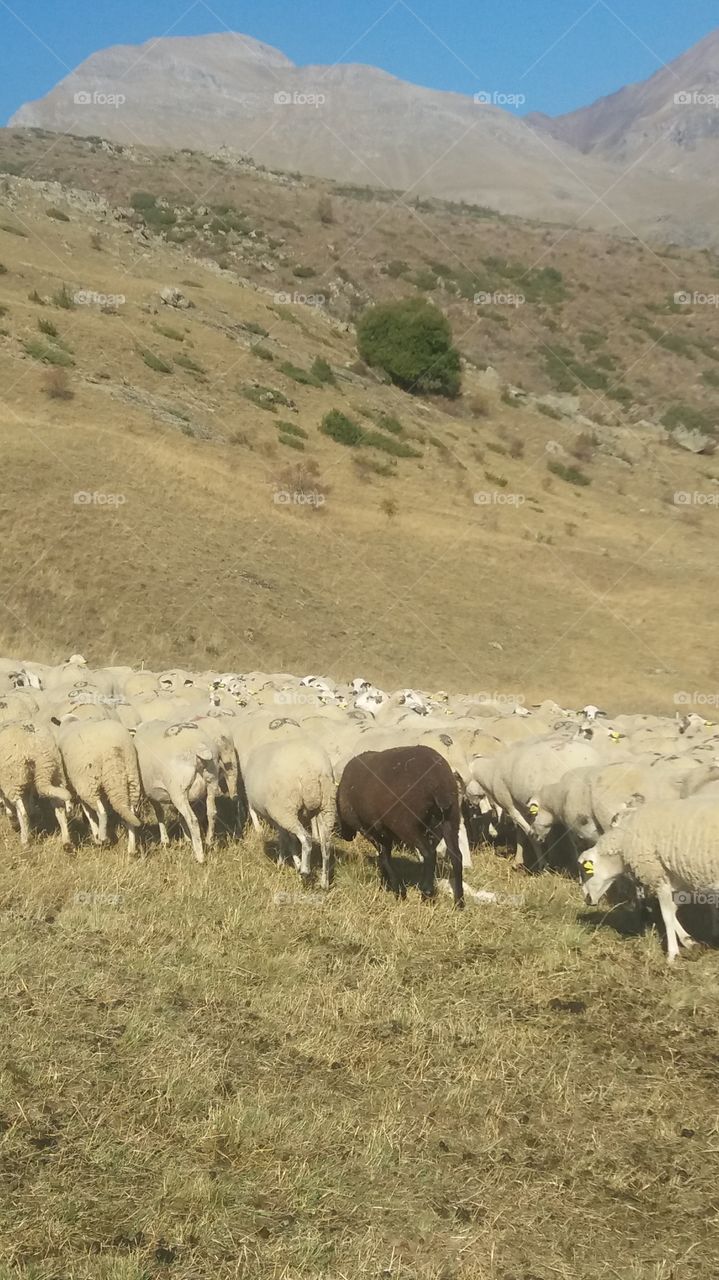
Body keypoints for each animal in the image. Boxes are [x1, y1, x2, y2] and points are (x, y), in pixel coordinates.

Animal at [241, 737, 336, 888]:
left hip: (285, 809)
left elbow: (285, 838)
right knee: (325, 845)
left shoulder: (277, 816)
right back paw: (324, 882)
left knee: (306, 838)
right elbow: (289, 838)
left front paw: (284, 863)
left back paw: (305, 870)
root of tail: (309, 771)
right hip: (326, 805)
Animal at [580, 797, 719, 962]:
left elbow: (667, 914)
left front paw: (672, 954)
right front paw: (689, 942)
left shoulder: (657, 873)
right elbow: (673, 909)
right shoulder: (682, 878)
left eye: (586, 870)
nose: (586, 899)